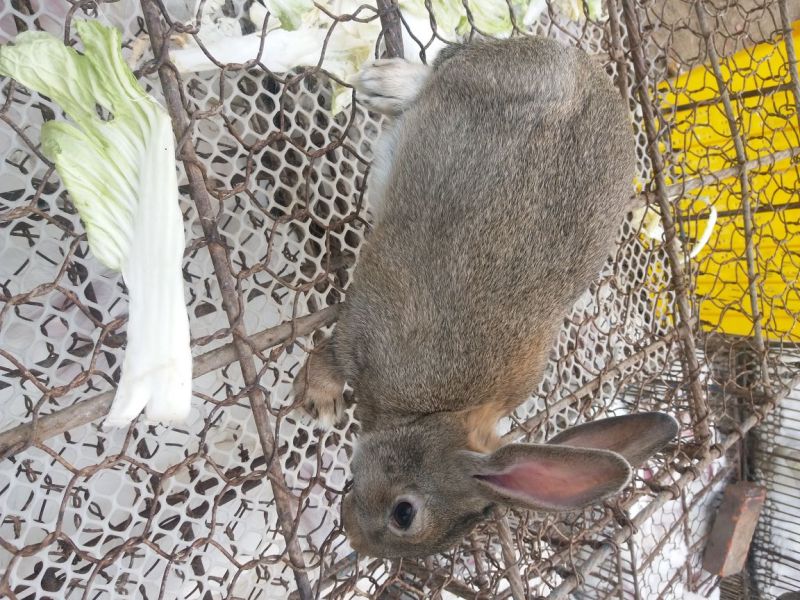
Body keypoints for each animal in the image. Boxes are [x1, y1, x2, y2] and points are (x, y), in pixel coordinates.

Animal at [290, 36, 680, 556]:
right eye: (405, 513)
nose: (353, 535)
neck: (432, 416)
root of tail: (587, 69)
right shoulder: (361, 340)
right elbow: (327, 356)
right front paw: (320, 404)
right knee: (436, 69)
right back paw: (385, 84)